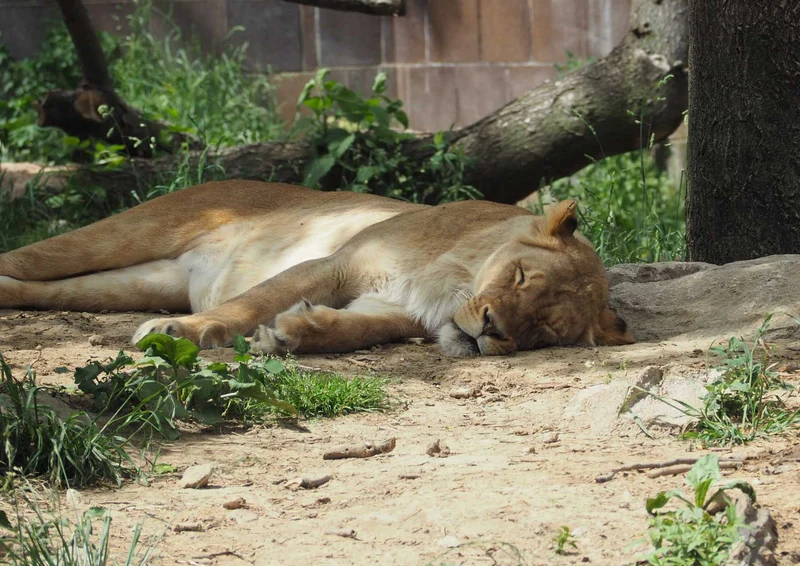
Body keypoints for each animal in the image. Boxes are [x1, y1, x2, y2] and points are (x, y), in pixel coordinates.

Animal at [0, 180, 634, 356]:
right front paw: (184, 333)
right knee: (23, 257)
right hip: (126, 232)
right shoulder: (335, 263)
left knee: (34, 288)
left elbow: (359, 329)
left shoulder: (394, 309)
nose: (491, 330)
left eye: (541, 330)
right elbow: (252, 301)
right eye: (522, 276)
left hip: (137, 282)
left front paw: (294, 334)